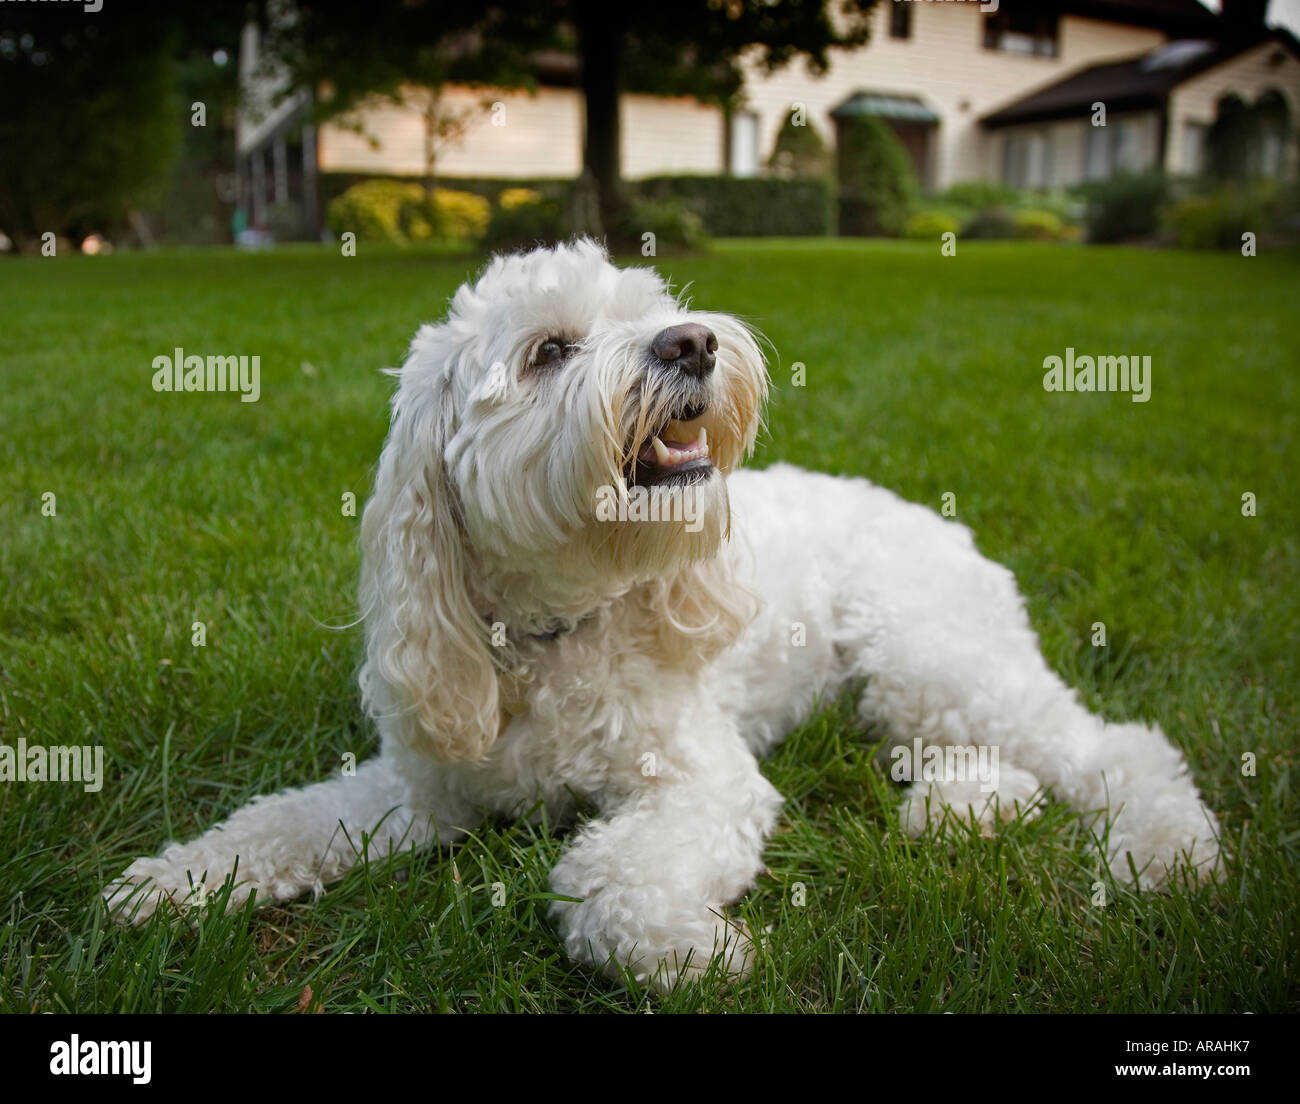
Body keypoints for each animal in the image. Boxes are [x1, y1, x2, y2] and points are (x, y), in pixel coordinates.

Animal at [106, 236, 1222, 988]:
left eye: (651, 308)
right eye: (549, 351)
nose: (692, 343)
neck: (558, 631)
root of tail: (937, 520)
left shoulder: (705, 784)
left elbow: (604, 885)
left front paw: (696, 947)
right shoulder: (423, 789)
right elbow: (286, 819)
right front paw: (176, 883)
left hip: (923, 652)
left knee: (1112, 747)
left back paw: (1165, 854)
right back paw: (959, 812)